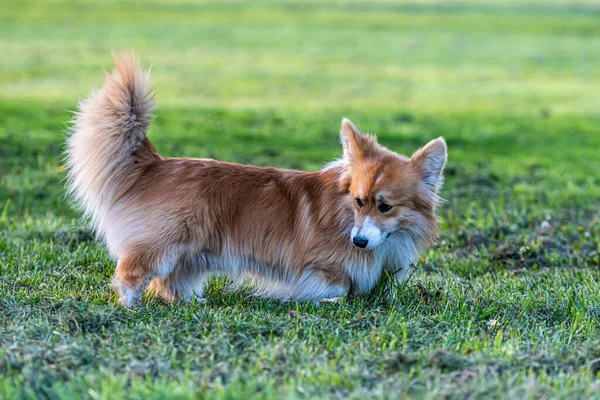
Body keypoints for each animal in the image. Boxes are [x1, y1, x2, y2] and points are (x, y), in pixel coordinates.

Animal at [67, 50, 450, 306]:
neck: (345, 216)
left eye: (385, 207)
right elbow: (338, 290)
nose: (358, 242)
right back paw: (129, 307)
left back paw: (192, 304)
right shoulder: (316, 267)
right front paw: (320, 300)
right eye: (358, 201)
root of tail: (157, 163)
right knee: (132, 275)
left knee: (168, 285)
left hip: (192, 255)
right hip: (163, 246)